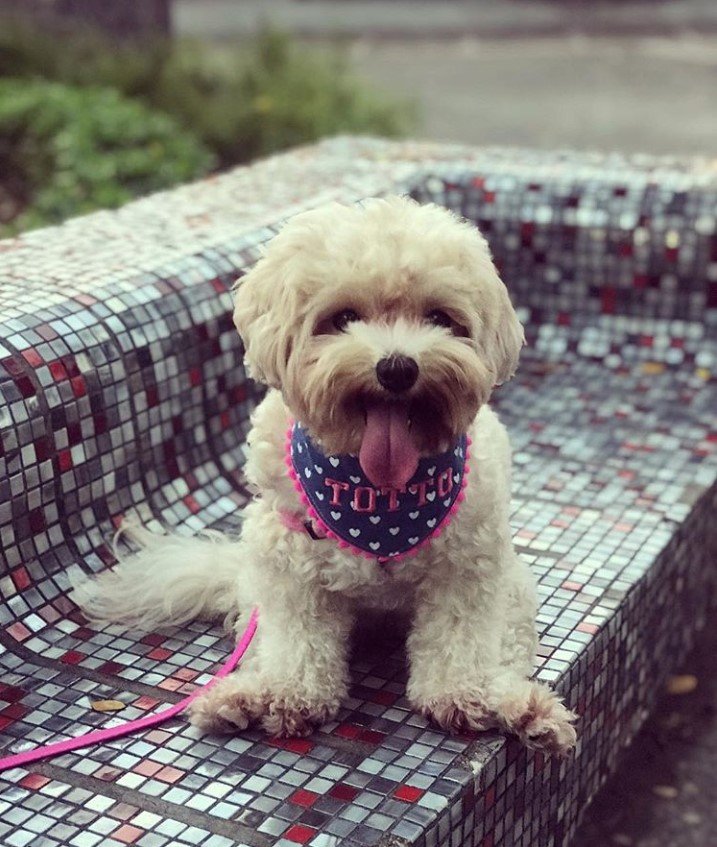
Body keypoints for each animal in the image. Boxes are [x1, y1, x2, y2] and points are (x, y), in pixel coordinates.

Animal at [71, 197, 576, 756]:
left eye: (440, 318)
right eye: (343, 317)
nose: (397, 368)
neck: (376, 498)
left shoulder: (466, 568)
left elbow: (457, 643)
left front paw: (463, 695)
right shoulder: (291, 569)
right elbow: (299, 645)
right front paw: (288, 696)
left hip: (513, 593)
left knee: (505, 653)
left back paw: (520, 708)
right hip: (257, 594)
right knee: (260, 648)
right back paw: (242, 698)